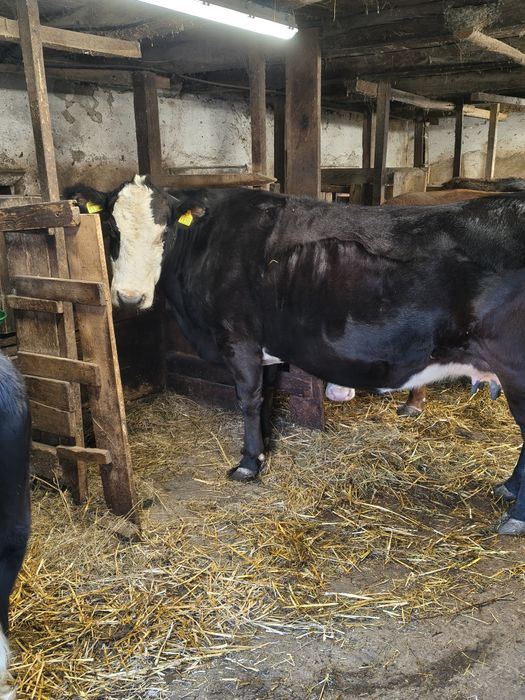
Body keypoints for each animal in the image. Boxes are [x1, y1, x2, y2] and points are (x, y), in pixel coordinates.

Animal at [66, 176, 525, 535]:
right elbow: (267, 394)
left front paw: (248, 463)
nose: (129, 297)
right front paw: (266, 447)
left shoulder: (239, 338)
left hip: (515, 368)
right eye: (111, 228)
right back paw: (507, 489)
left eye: (166, 233)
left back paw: (515, 515)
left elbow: (248, 399)